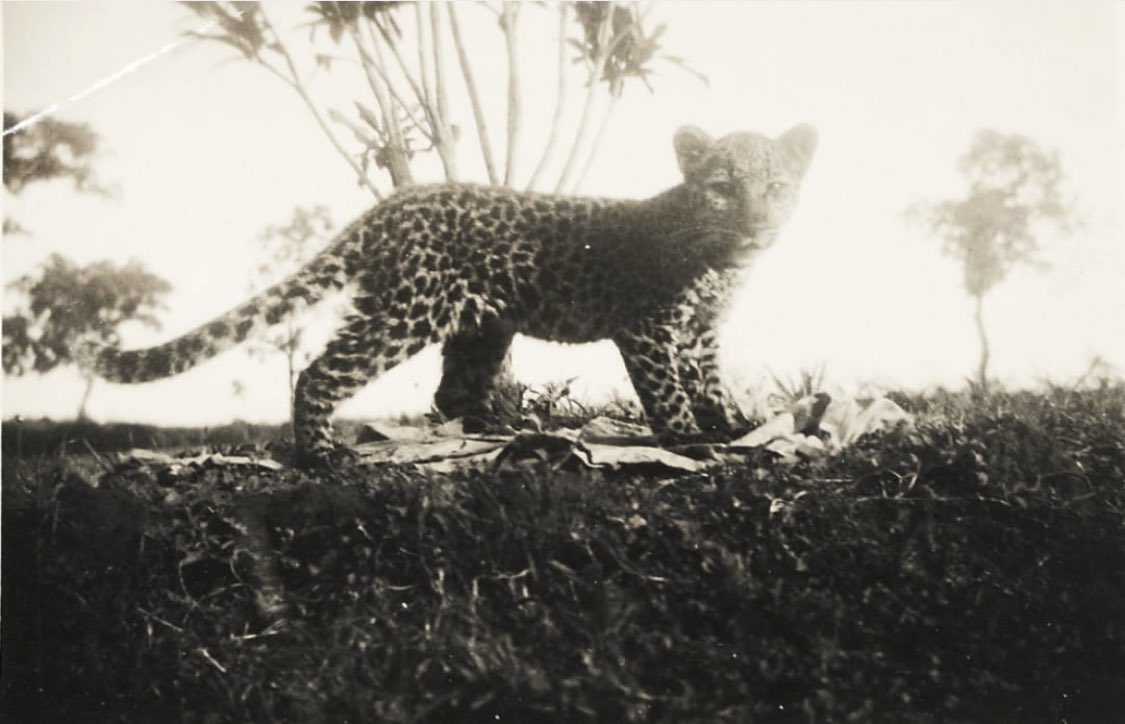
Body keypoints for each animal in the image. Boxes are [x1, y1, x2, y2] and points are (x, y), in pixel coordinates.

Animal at [80, 123, 818, 469]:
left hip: (480, 327)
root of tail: (388, 206)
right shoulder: (648, 327)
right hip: (407, 310)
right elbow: (668, 391)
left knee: (450, 393)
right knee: (321, 371)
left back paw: (493, 435)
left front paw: (733, 425)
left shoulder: (704, 331)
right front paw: (688, 441)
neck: (720, 264)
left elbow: (711, 383)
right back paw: (320, 452)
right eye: (723, 187)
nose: (758, 223)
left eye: (777, 189)